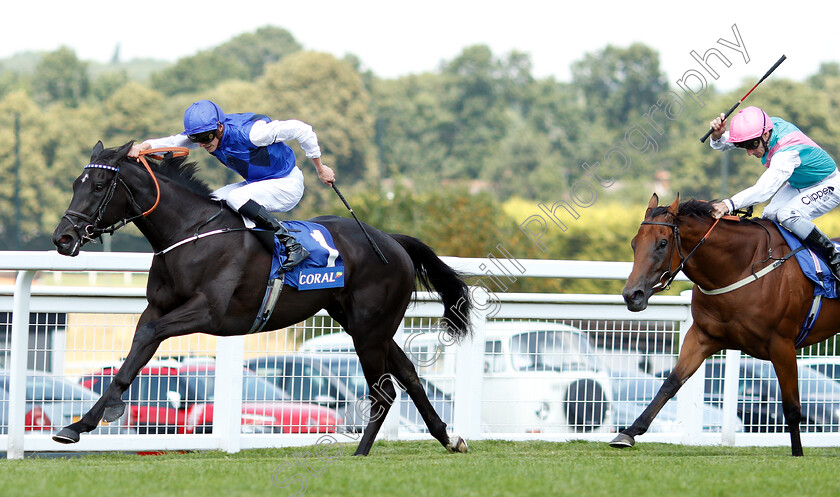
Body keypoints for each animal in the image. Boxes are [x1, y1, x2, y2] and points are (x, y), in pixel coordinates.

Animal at [50, 141, 472, 456]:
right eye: (74, 184)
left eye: (99, 186)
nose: (63, 238)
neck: (189, 232)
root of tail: (392, 240)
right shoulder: (157, 308)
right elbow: (136, 352)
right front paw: (78, 425)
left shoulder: (207, 313)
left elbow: (148, 338)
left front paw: (104, 413)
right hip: (364, 325)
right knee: (411, 376)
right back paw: (448, 437)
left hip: (370, 329)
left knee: (384, 390)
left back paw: (360, 453)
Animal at [612, 192, 840, 456]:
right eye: (634, 244)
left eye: (662, 243)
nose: (632, 295)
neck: (741, 266)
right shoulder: (701, 336)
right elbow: (671, 383)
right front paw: (628, 433)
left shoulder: (781, 344)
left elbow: (792, 406)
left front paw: (798, 453)